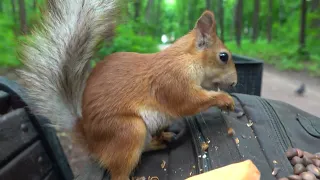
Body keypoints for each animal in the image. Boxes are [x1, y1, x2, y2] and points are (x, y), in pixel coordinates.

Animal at [18, 0, 238, 179]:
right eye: (223, 56)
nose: (235, 83)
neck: (186, 59)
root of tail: (90, 141)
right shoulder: (171, 82)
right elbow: (189, 102)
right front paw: (225, 100)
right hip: (129, 130)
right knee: (119, 172)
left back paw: (161, 140)